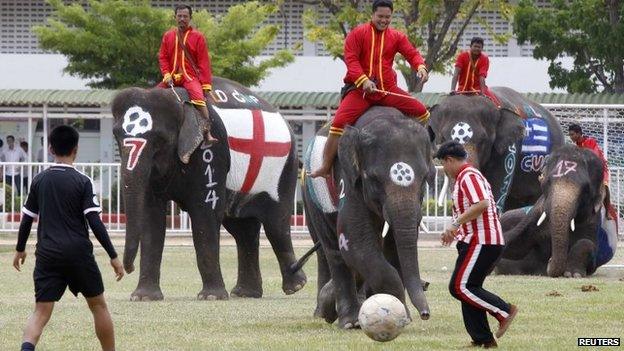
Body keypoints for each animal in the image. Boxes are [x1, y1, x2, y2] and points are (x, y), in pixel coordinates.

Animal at [112, 77, 308, 302]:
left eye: (160, 140)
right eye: (116, 136)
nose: (125, 270)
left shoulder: (211, 151)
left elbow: (205, 211)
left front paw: (211, 297)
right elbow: (151, 216)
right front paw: (144, 298)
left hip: (283, 169)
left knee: (276, 224)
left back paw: (296, 286)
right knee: (243, 229)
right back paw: (245, 293)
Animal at [302, 108, 434, 330]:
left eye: (425, 178)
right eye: (373, 179)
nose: (425, 314)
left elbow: (393, 246)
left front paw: (403, 315)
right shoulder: (347, 178)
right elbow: (355, 241)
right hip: (311, 197)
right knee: (333, 252)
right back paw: (347, 321)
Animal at [494, 146, 616, 278]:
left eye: (586, 190)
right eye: (547, 182)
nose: (550, 260)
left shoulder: (592, 220)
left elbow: (587, 242)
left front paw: (572, 274)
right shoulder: (537, 210)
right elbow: (517, 244)